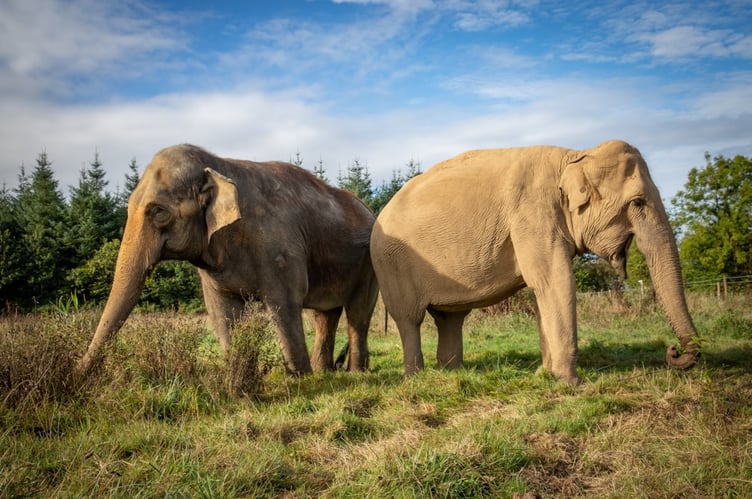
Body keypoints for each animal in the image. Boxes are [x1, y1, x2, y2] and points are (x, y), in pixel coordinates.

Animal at [75, 144, 378, 377]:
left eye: (158, 211)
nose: (78, 374)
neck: (220, 165)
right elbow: (222, 310)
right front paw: (237, 378)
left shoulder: (280, 246)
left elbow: (284, 302)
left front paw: (299, 380)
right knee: (324, 315)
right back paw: (325, 371)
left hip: (369, 263)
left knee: (357, 314)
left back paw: (355, 373)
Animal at [370, 140, 699, 384]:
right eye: (638, 202)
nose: (673, 351)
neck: (575, 156)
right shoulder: (533, 216)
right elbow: (555, 281)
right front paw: (570, 383)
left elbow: (545, 289)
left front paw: (546, 375)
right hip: (390, 264)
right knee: (409, 319)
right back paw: (415, 378)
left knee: (450, 319)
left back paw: (454, 373)